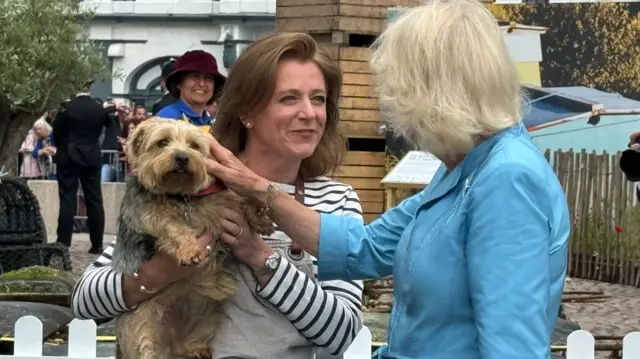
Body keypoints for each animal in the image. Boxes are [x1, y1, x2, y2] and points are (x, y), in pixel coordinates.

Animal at [111, 119, 274, 359]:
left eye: (194, 145)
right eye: (162, 142)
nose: (182, 157)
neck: (181, 196)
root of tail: (175, 346)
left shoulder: (218, 205)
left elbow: (237, 201)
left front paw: (259, 217)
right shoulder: (149, 215)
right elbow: (173, 227)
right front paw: (190, 250)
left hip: (204, 325)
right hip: (143, 327)